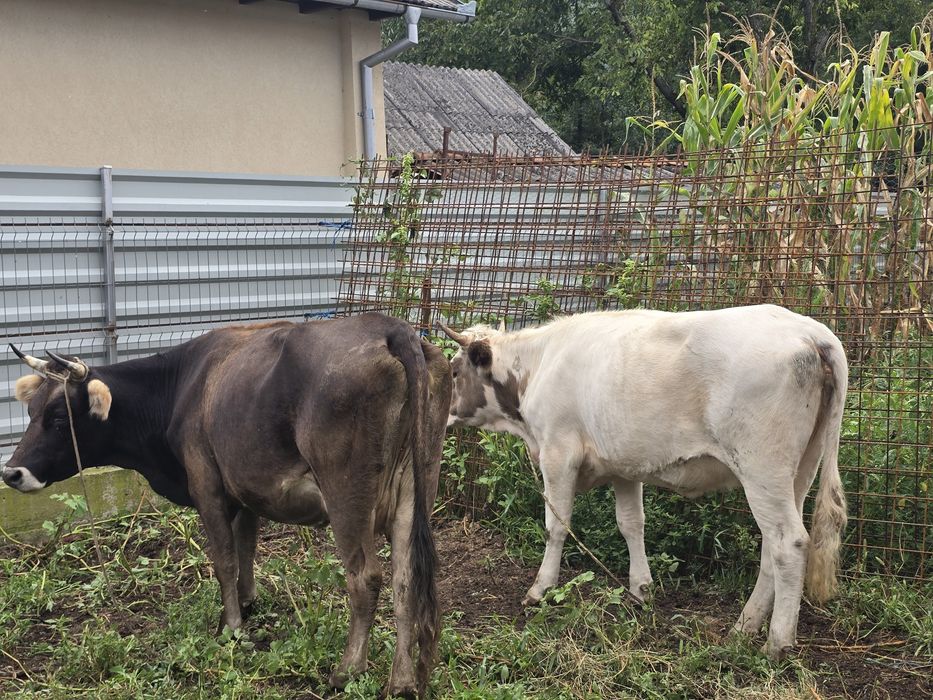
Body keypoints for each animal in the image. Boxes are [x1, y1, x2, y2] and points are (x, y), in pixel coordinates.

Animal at [2, 313, 451, 698]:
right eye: (31, 411)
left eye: (59, 418)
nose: (12, 473)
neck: (182, 386)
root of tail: (390, 327)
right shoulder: (246, 489)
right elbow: (246, 547)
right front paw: (247, 603)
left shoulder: (207, 486)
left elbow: (224, 559)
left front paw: (231, 627)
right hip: (416, 486)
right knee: (406, 579)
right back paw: (403, 680)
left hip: (346, 494)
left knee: (366, 577)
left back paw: (347, 670)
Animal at [438, 304, 848, 660]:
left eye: (454, 372)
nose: (442, 413)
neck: (538, 366)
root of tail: (811, 331)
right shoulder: (624, 465)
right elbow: (631, 524)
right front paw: (641, 589)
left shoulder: (558, 453)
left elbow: (557, 525)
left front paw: (540, 589)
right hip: (800, 471)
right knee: (770, 547)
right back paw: (744, 627)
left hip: (762, 466)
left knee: (788, 543)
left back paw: (777, 642)